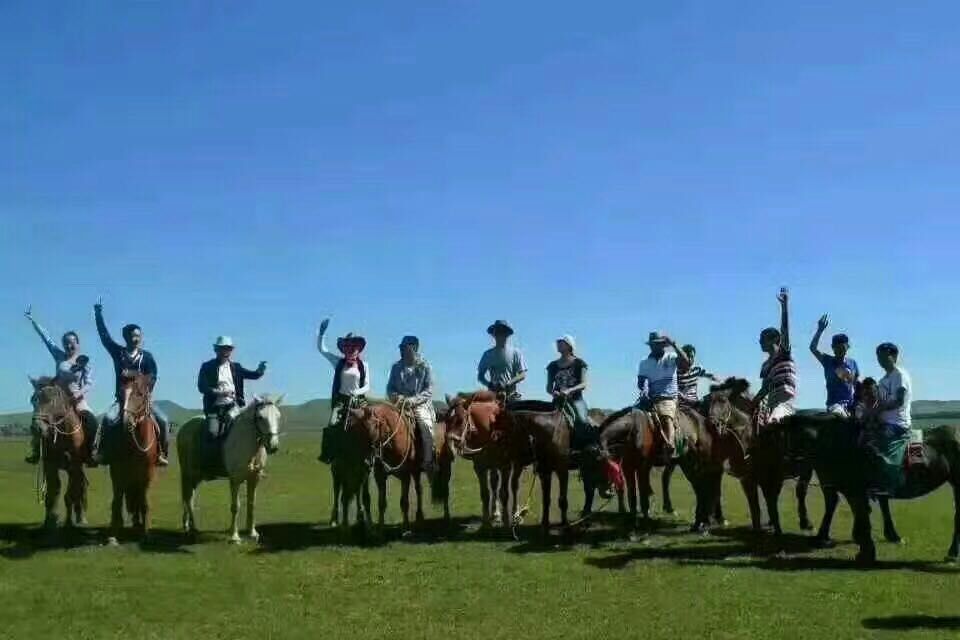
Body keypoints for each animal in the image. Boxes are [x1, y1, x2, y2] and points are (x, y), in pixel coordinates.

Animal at [29, 378, 89, 532]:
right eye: (33, 400)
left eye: (51, 400)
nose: (36, 428)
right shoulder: (50, 465)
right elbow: (52, 493)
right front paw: (49, 522)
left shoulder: (74, 467)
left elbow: (70, 495)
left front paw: (68, 523)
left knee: (80, 487)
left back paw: (81, 518)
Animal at [106, 376, 160, 544]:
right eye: (121, 393)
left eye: (140, 394)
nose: (125, 421)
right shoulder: (117, 471)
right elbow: (116, 502)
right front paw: (112, 535)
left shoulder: (148, 474)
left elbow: (144, 502)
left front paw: (145, 534)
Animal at [176, 398, 282, 544]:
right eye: (260, 417)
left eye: (278, 416)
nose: (273, 446)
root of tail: (183, 428)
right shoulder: (235, 480)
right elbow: (235, 506)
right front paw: (234, 536)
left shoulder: (254, 479)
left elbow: (252, 504)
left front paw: (252, 533)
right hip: (187, 473)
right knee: (187, 497)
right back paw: (193, 528)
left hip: (195, 476)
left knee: (190, 497)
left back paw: (188, 525)